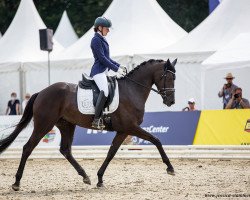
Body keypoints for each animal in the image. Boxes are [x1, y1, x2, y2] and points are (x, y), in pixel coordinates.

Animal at [0, 58, 177, 191]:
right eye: (168, 77)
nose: (171, 101)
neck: (132, 90)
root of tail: (42, 92)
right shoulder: (130, 127)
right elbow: (156, 140)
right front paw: (170, 168)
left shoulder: (123, 131)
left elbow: (111, 153)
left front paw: (99, 179)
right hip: (44, 124)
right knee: (28, 148)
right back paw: (16, 183)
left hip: (66, 125)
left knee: (65, 150)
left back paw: (85, 176)